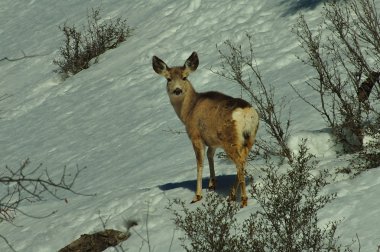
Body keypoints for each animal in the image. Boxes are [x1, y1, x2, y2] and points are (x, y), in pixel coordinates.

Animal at [153, 51, 260, 207]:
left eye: (184, 77)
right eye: (168, 79)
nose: (177, 90)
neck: (188, 110)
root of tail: (246, 114)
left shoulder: (196, 136)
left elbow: (199, 163)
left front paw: (197, 195)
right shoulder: (212, 141)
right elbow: (210, 155)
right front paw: (212, 184)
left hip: (230, 140)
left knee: (239, 163)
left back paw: (243, 200)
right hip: (250, 137)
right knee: (243, 161)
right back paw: (232, 195)